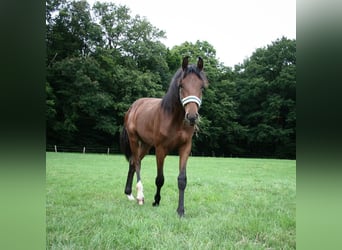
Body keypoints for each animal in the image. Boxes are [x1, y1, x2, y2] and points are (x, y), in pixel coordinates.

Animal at [120, 56, 208, 217]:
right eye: (181, 85)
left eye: (202, 87)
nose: (192, 117)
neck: (174, 119)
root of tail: (132, 107)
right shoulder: (160, 149)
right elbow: (160, 178)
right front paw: (156, 201)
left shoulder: (185, 148)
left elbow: (182, 179)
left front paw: (180, 211)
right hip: (134, 140)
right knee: (136, 163)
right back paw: (140, 196)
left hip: (146, 144)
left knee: (133, 163)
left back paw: (129, 194)